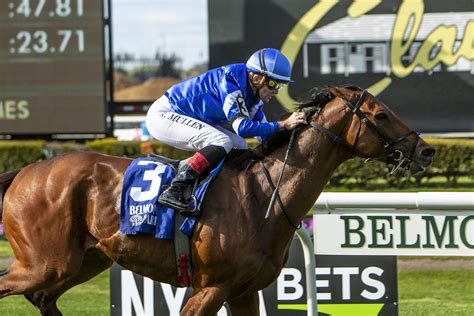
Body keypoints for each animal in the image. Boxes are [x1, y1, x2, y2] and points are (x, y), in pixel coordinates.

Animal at [0, 85, 436, 314]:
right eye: (380, 115)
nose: (427, 150)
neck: (262, 195)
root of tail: (24, 170)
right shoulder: (211, 288)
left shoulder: (243, 291)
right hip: (45, 263)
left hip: (83, 260)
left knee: (42, 298)